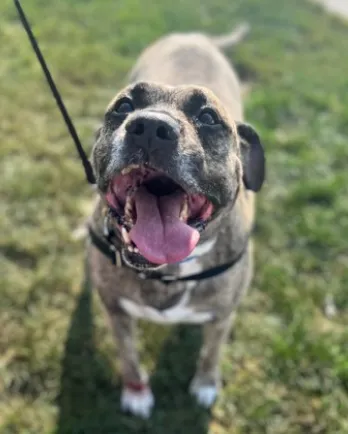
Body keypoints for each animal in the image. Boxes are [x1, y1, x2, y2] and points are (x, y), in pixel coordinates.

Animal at [85, 22, 266, 418]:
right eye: (124, 106)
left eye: (209, 118)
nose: (150, 126)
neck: (168, 271)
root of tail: (194, 35)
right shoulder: (116, 312)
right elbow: (129, 356)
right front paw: (136, 393)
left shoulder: (223, 315)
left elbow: (212, 352)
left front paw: (206, 384)